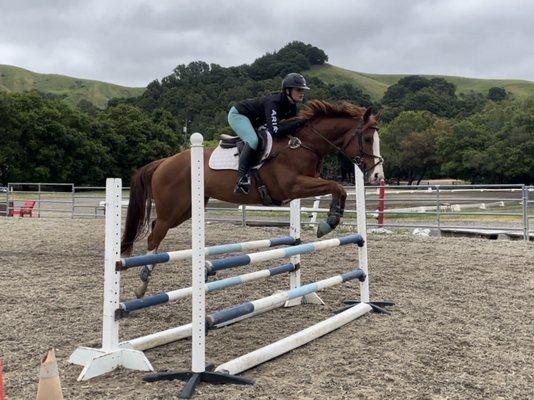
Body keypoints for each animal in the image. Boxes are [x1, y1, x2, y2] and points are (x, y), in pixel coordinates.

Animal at [121, 101, 386, 298]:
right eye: (367, 139)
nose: (377, 176)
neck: (303, 144)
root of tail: (163, 162)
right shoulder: (293, 186)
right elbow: (337, 186)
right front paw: (327, 224)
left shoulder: (302, 186)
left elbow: (338, 189)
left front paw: (330, 221)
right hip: (174, 208)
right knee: (155, 235)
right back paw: (142, 284)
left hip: (186, 208)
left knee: (155, 226)